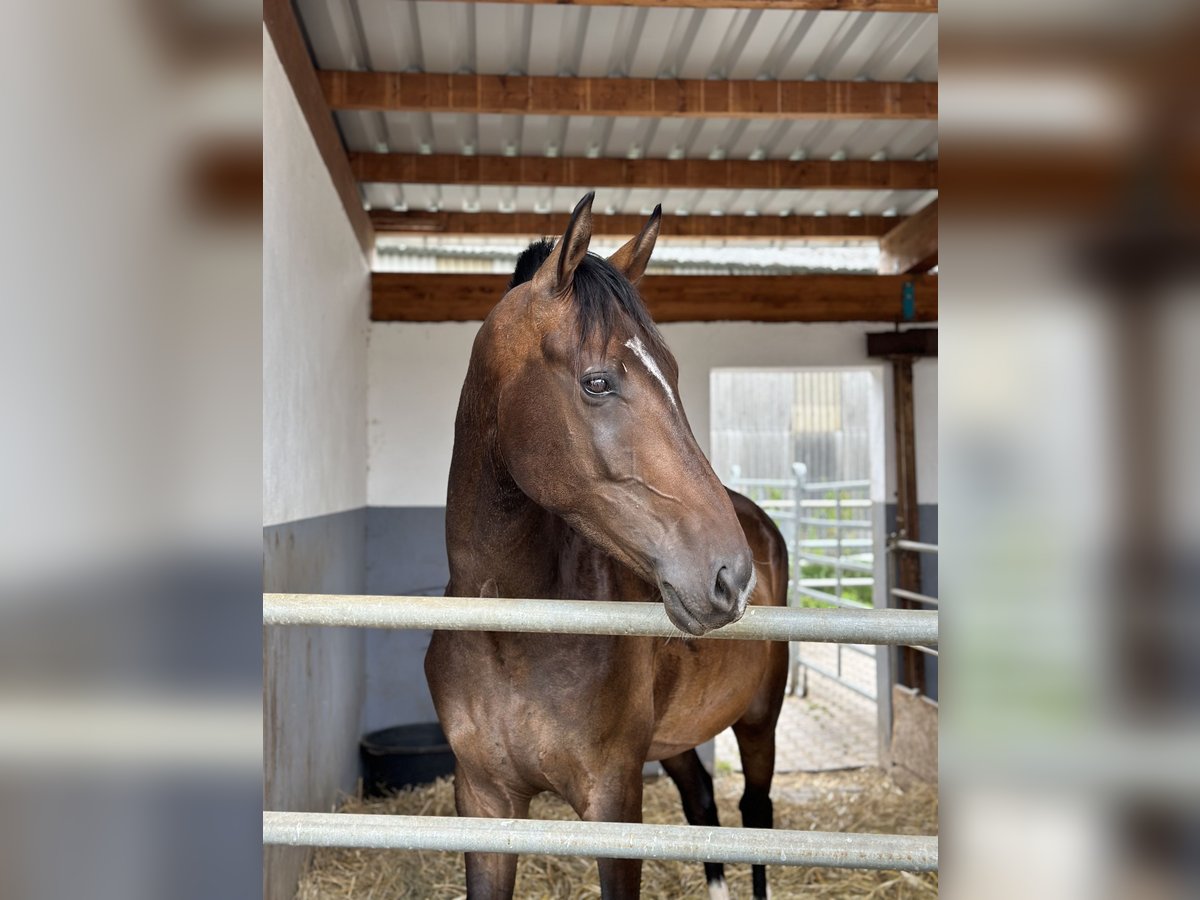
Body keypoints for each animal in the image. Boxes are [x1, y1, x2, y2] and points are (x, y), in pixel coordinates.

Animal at [427, 194, 792, 897]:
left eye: (673, 372)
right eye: (598, 382)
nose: (730, 577)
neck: (510, 635)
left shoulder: (613, 803)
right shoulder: (482, 802)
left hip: (759, 720)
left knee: (754, 813)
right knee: (704, 802)